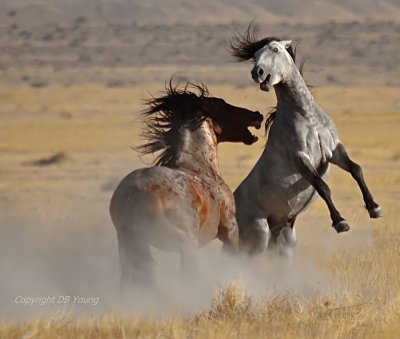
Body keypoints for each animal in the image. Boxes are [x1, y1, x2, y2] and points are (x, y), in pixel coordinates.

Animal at [108, 81, 262, 286]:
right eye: (222, 105)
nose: (257, 115)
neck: (199, 161)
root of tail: (134, 193)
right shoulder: (230, 230)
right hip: (186, 244)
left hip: (129, 245)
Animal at [230, 25, 382, 258]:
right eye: (255, 56)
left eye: (275, 49)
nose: (257, 73)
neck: (308, 118)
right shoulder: (300, 158)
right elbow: (322, 186)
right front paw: (340, 222)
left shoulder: (333, 150)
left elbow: (356, 169)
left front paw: (374, 207)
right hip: (257, 235)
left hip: (283, 239)